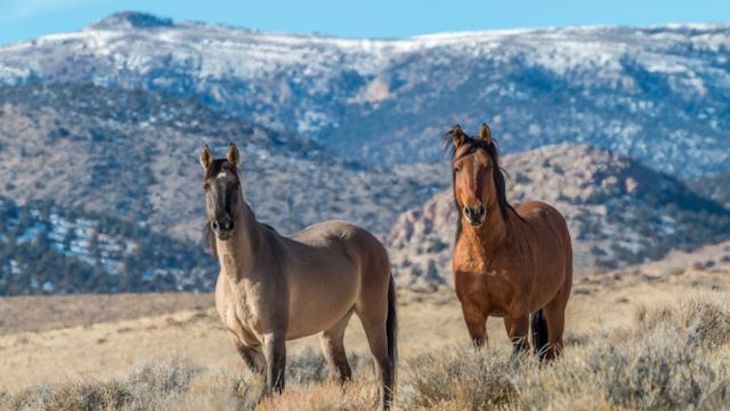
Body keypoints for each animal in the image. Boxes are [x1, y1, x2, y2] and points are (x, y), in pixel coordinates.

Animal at [199, 143, 397, 409]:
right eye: (206, 185)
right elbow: (264, 389)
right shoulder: (243, 343)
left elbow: (273, 389)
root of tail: (376, 244)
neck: (241, 276)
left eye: (236, 184)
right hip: (333, 329)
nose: (223, 225)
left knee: (383, 366)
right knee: (344, 374)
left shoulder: (273, 337)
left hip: (372, 316)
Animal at [446, 123, 572, 360]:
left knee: (554, 348)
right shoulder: (473, 314)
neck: (485, 255)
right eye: (457, 168)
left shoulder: (517, 311)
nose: (474, 212)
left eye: (487, 166)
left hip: (555, 305)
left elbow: (520, 351)